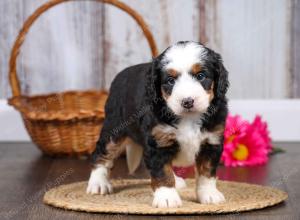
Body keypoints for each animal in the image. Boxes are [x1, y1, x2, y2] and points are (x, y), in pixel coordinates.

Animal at [85, 41, 229, 208]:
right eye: (170, 80)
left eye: (201, 76)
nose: (187, 101)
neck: (188, 117)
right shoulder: (158, 141)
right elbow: (162, 172)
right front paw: (167, 197)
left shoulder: (211, 141)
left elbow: (206, 172)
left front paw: (209, 194)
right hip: (114, 127)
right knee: (102, 153)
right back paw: (98, 183)